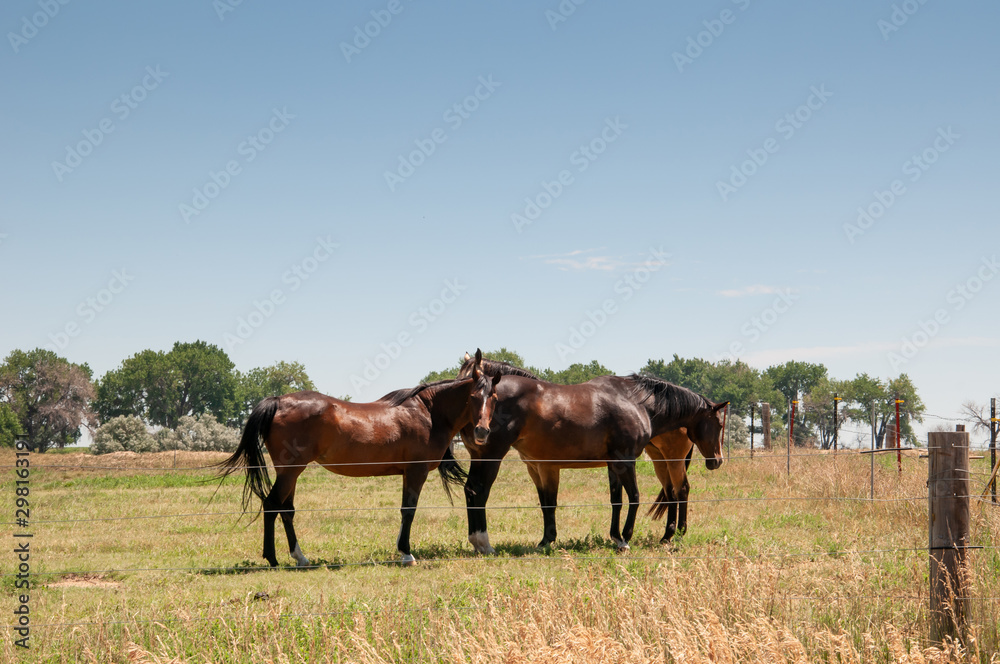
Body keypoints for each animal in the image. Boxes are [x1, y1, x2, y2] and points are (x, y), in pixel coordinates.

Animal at [219, 352, 500, 564]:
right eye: (473, 397)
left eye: (494, 397)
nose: (482, 431)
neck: (428, 412)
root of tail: (278, 400)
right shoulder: (416, 472)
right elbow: (408, 510)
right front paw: (406, 553)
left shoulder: (407, 473)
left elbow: (404, 510)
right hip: (290, 471)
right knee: (271, 505)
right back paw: (273, 559)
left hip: (290, 473)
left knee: (286, 510)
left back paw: (300, 557)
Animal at [456, 358, 728, 556]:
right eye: (719, 424)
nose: (717, 460)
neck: (635, 401)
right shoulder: (624, 461)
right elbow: (634, 497)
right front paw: (625, 538)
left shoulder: (613, 464)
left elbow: (615, 501)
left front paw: (615, 537)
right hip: (491, 457)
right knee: (478, 491)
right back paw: (482, 542)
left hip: (666, 459)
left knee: (677, 490)